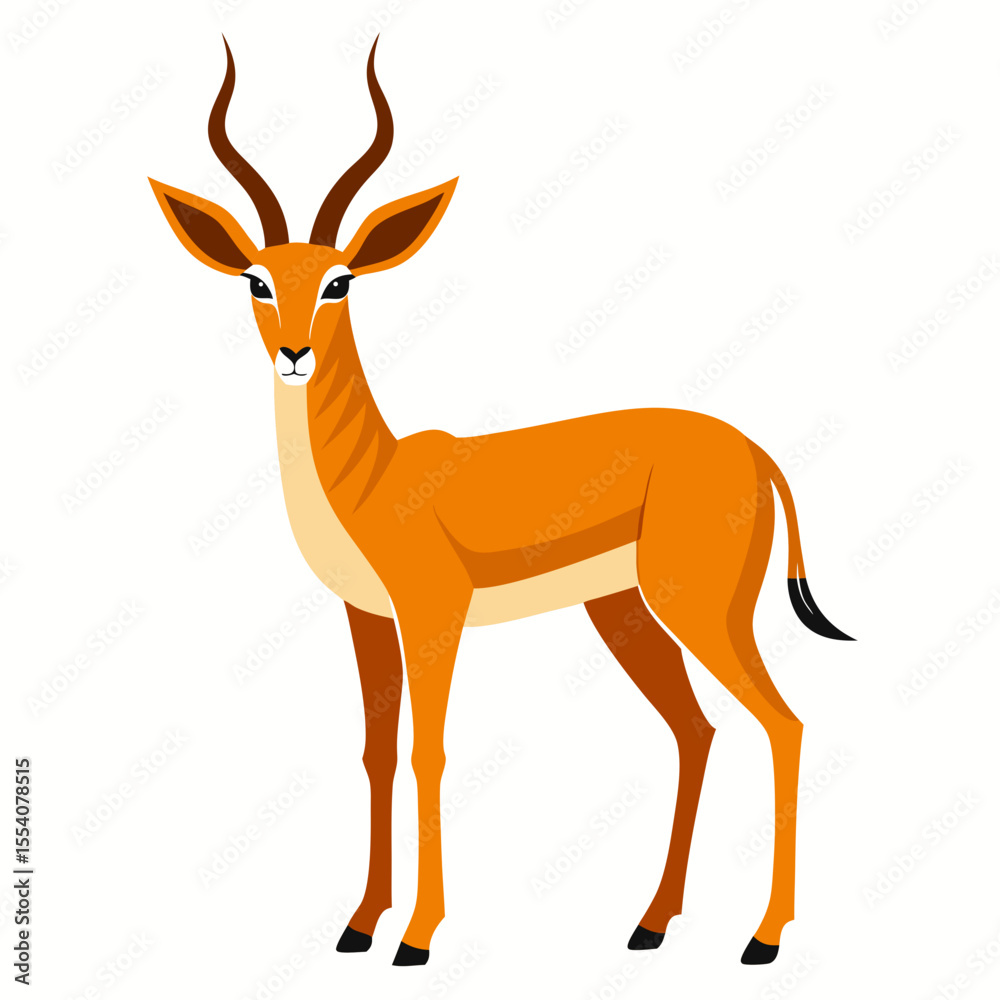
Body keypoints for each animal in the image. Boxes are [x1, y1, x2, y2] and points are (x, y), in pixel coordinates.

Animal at [149, 36, 854, 967]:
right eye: (257, 282)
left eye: (341, 282)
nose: (294, 355)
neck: (377, 478)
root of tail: (756, 452)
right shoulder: (367, 616)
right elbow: (377, 751)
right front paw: (358, 924)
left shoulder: (434, 613)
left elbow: (429, 752)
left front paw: (416, 937)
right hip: (623, 610)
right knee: (696, 731)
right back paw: (649, 925)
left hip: (700, 607)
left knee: (785, 724)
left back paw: (763, 939)